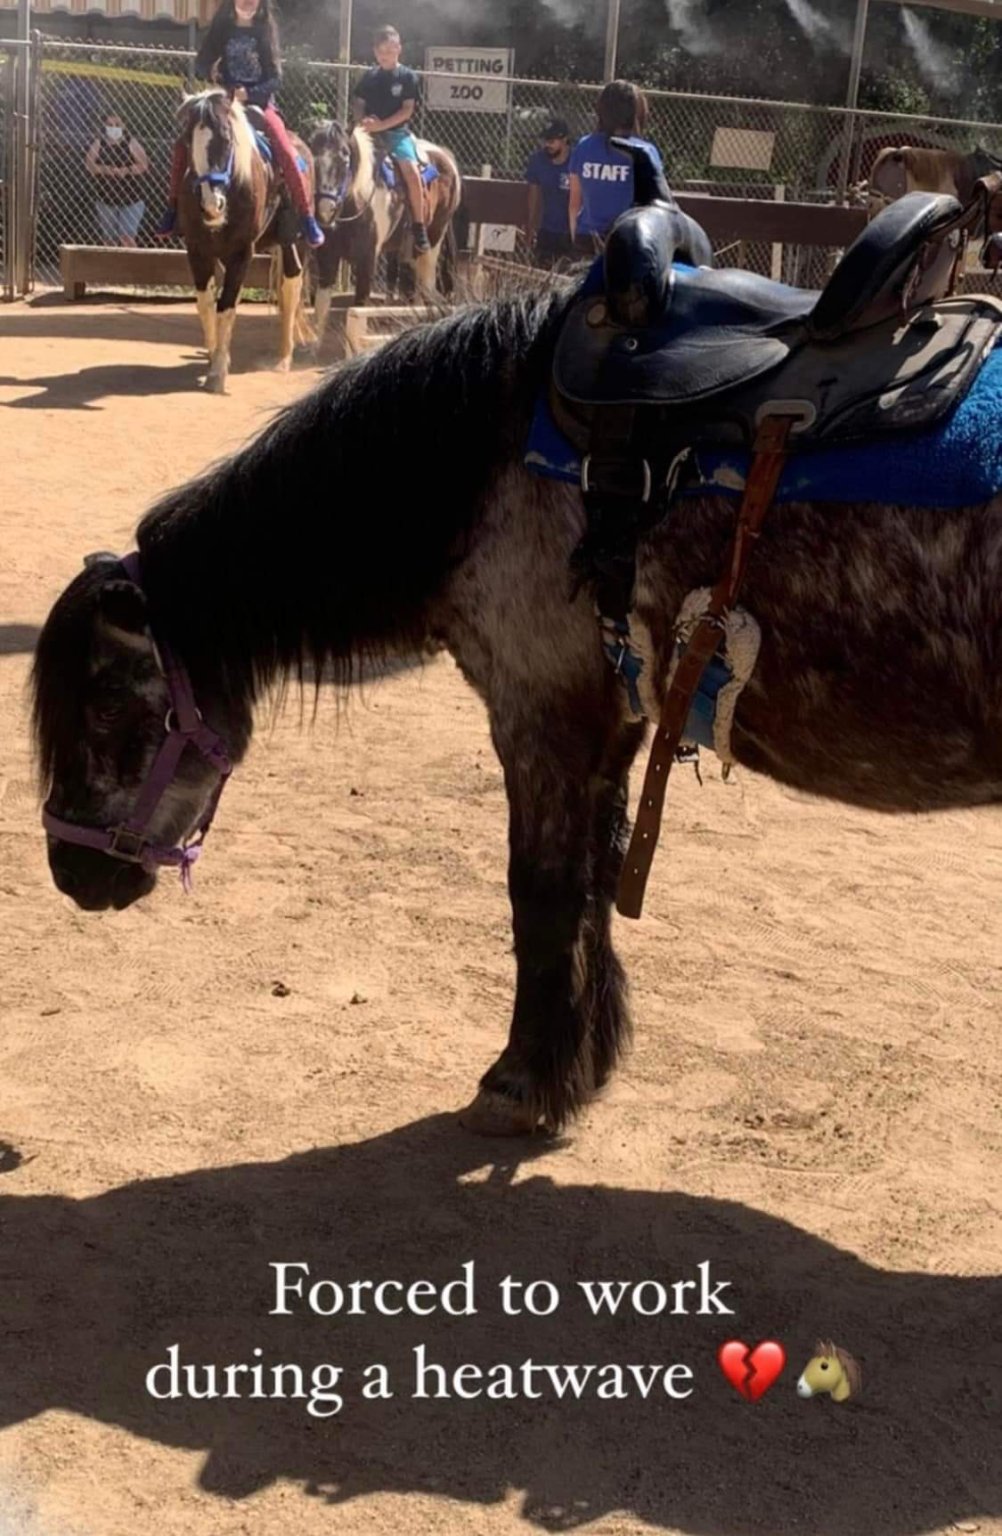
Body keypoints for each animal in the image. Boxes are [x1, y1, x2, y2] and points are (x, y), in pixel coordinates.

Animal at [30, 224, 1002, 1139]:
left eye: (109, 699)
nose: (71, 873)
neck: (486, 449)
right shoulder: (611, 721)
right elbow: (594, 885)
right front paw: (586, 1062)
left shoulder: (539, 719)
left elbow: (540, 892)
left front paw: (522, 1082)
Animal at [174, 89, 315, 394]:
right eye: (188, 142)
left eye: (227, 140)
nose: (211, 206)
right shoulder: (197, 249)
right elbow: (206, 304)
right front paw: (214, 357)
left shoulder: (241, 252)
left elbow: (226, 305)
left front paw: (217, 373)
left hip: (293, 242)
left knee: (291, 285)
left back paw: (284, 358)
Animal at [309, 120, 460, 343]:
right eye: (312, 153)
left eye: (345, 156)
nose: (325, 209)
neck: (358, 198)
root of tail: (445, 155)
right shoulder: (327, 255)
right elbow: (321, 307)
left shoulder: (367, 259)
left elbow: (360, 306)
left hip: (432, 243)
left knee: (428, 290)